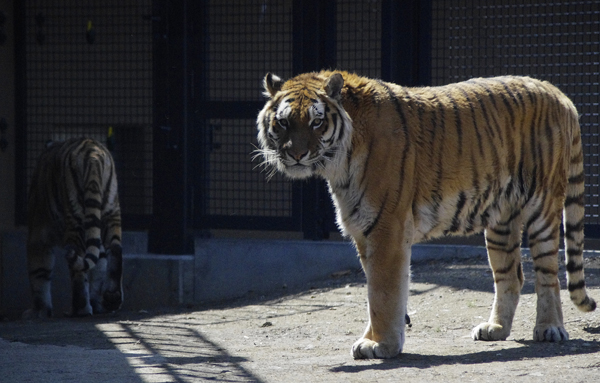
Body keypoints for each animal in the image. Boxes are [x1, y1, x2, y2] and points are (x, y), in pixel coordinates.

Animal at [24, 139, 124, 320]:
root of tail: (93, 152)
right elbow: (99, 267)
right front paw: (99, 303)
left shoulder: (38, 234)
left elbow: (39, 272)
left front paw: (38, 310)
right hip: (111, 212)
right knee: (115, 249)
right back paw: (113, 297)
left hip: (75, 219)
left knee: (77, 265)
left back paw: (79, 309)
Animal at [256, 71, 596, 360]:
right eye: (284, 122)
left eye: (316, 122)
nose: (296, 154)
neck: (337, 164)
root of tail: (557, 92)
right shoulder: (364, 229)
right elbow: (375, 293)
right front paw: (373, 339)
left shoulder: (386, 227)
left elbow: (382, 293)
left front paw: (380, 345)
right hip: (501, 221)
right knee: (511, 276)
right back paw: (495, 329)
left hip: (543, 207)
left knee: (548, 274)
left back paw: (549, 328)